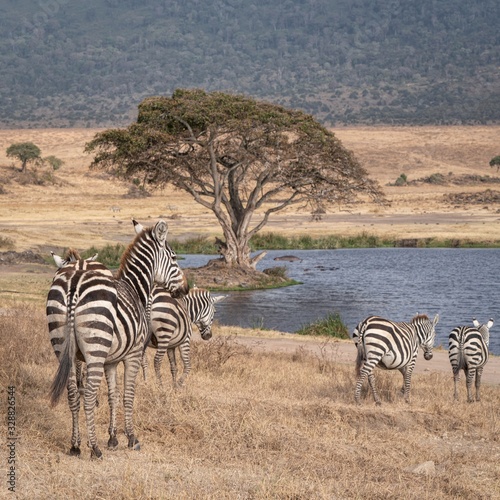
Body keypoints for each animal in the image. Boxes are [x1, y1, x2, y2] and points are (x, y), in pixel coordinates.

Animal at [47, 219, 188, 458]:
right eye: (175, 257)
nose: (185, 288)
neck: (135, 289)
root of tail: (75, 279)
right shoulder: (133, 353)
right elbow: (128, 395)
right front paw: (131, 437)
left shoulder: (110, 361)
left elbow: (113, 395)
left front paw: (112, 438)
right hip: (95, 347)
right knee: (88, 394)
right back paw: (94, 448)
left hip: (61, 345)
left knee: (73, 394)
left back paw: (75, 445)